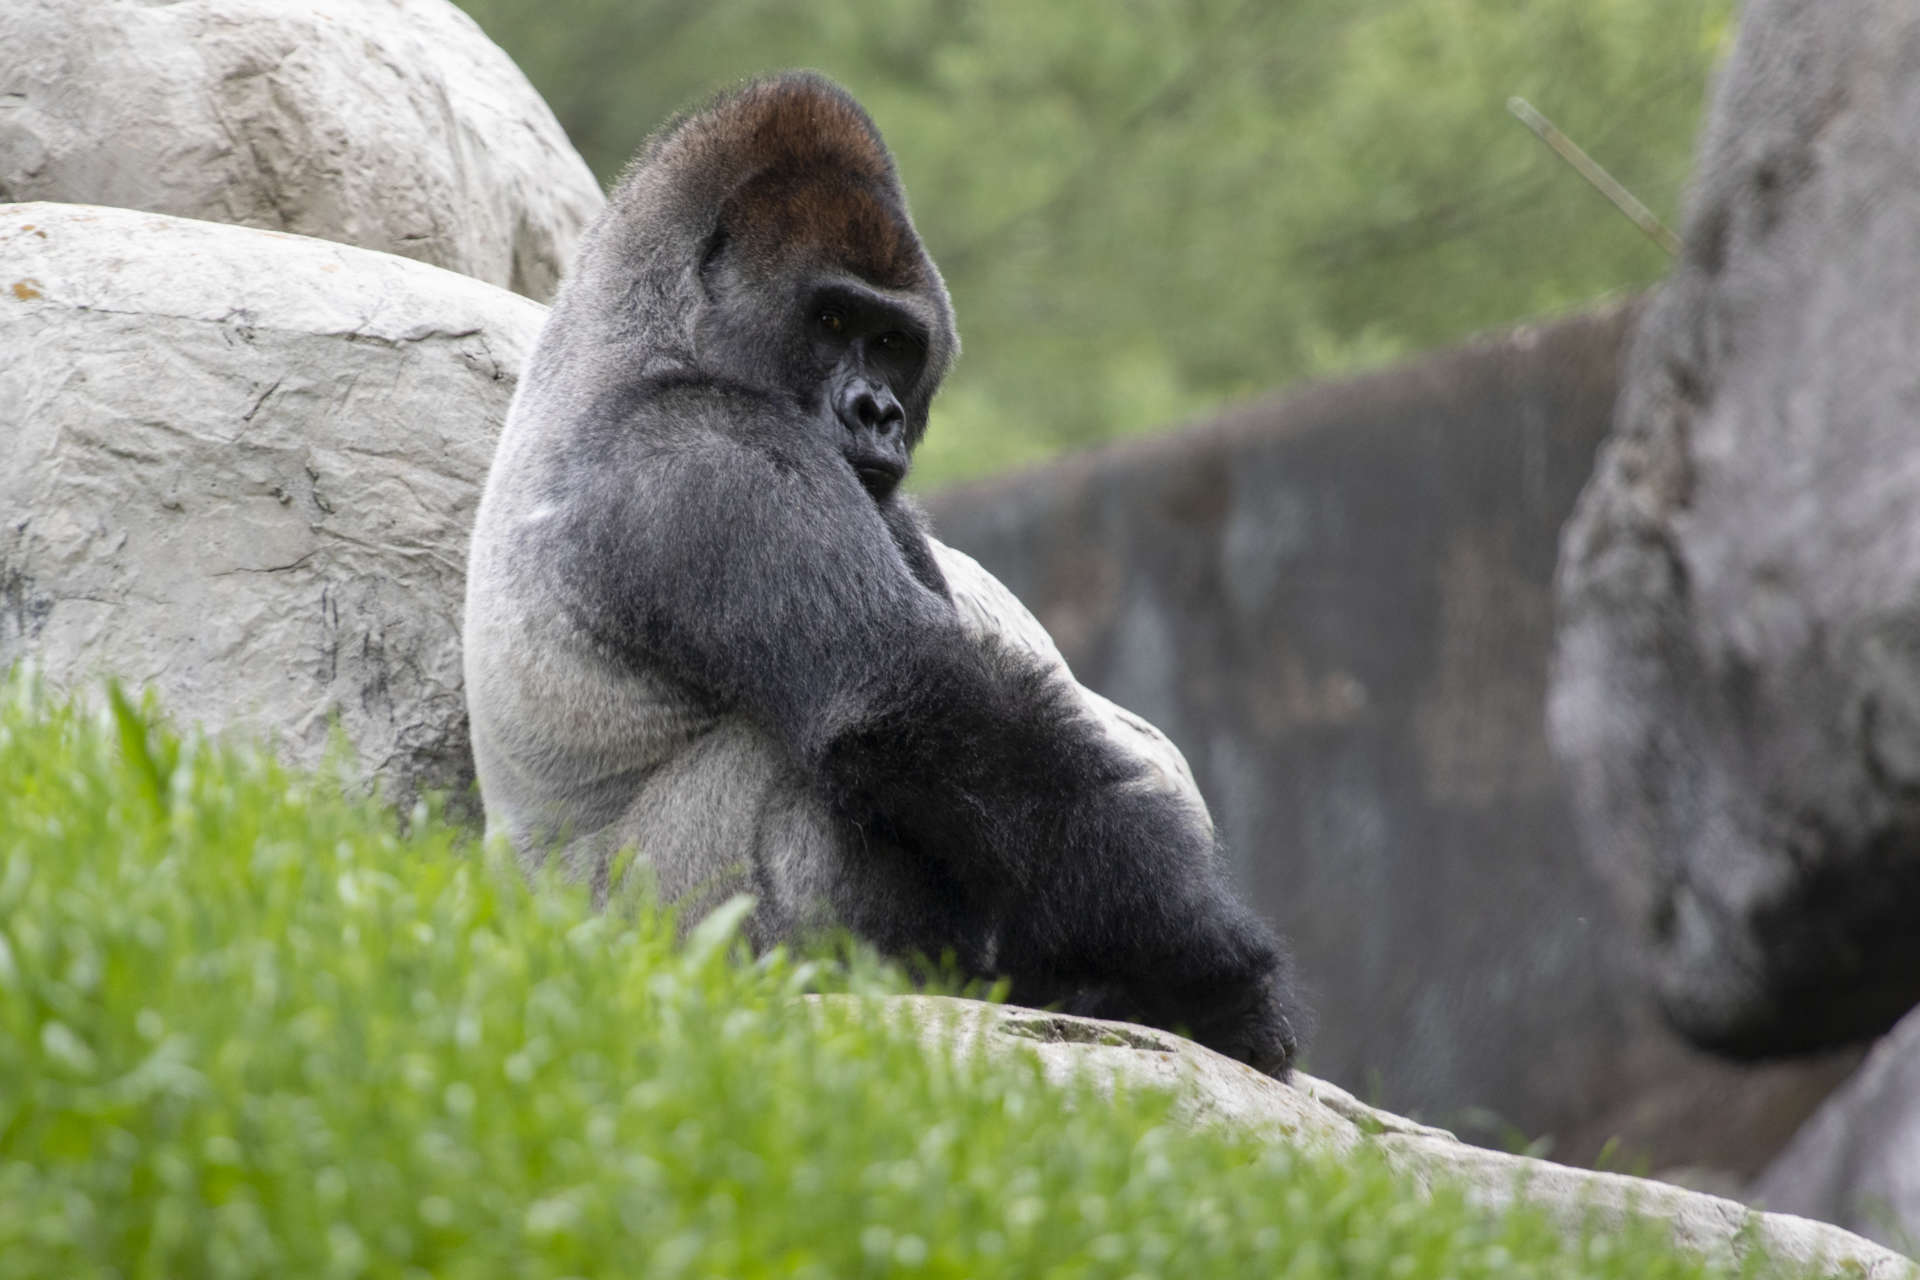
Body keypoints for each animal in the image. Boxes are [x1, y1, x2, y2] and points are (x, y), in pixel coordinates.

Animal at [462, 72, 1305, 1075]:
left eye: (895, 343)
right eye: (830, 323)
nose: (877, 413)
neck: (649, 322)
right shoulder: (714, 456)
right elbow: (906, 701)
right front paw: (1208, 963)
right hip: (658, 947)